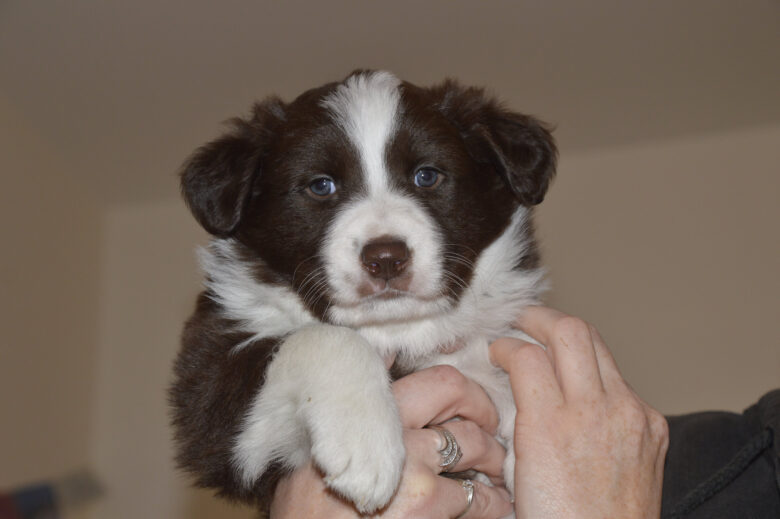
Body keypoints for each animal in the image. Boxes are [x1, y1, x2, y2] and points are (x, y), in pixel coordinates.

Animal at [169, 70, 556, 516]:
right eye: (321, 186)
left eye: (427, 176)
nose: (386, 258)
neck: (396, 329)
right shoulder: (212, 404)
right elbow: (325, 337)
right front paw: (365, 447)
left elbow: (520, 348)